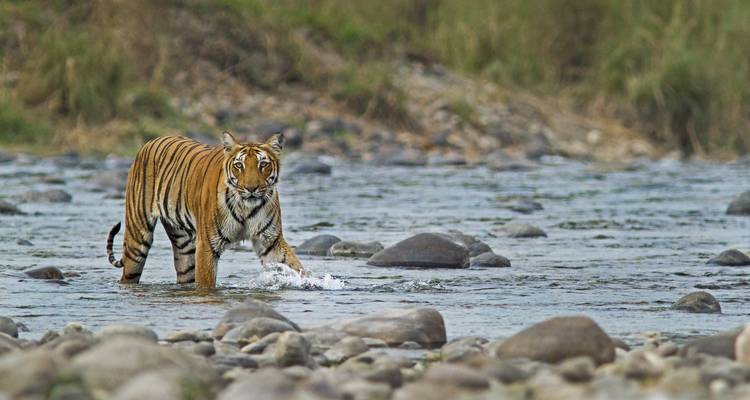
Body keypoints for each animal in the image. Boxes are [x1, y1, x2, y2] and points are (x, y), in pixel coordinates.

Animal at [105, 131, 306, 289]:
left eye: (263, 164)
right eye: (239, 165)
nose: (251, 188)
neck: (246, 207)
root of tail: (150, 142)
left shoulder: (270, 241)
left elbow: (296, 267)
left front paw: (309, 283)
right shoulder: (207, 245)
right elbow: (206, 283)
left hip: (184, 246)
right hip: (137, 238)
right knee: (129, 273)